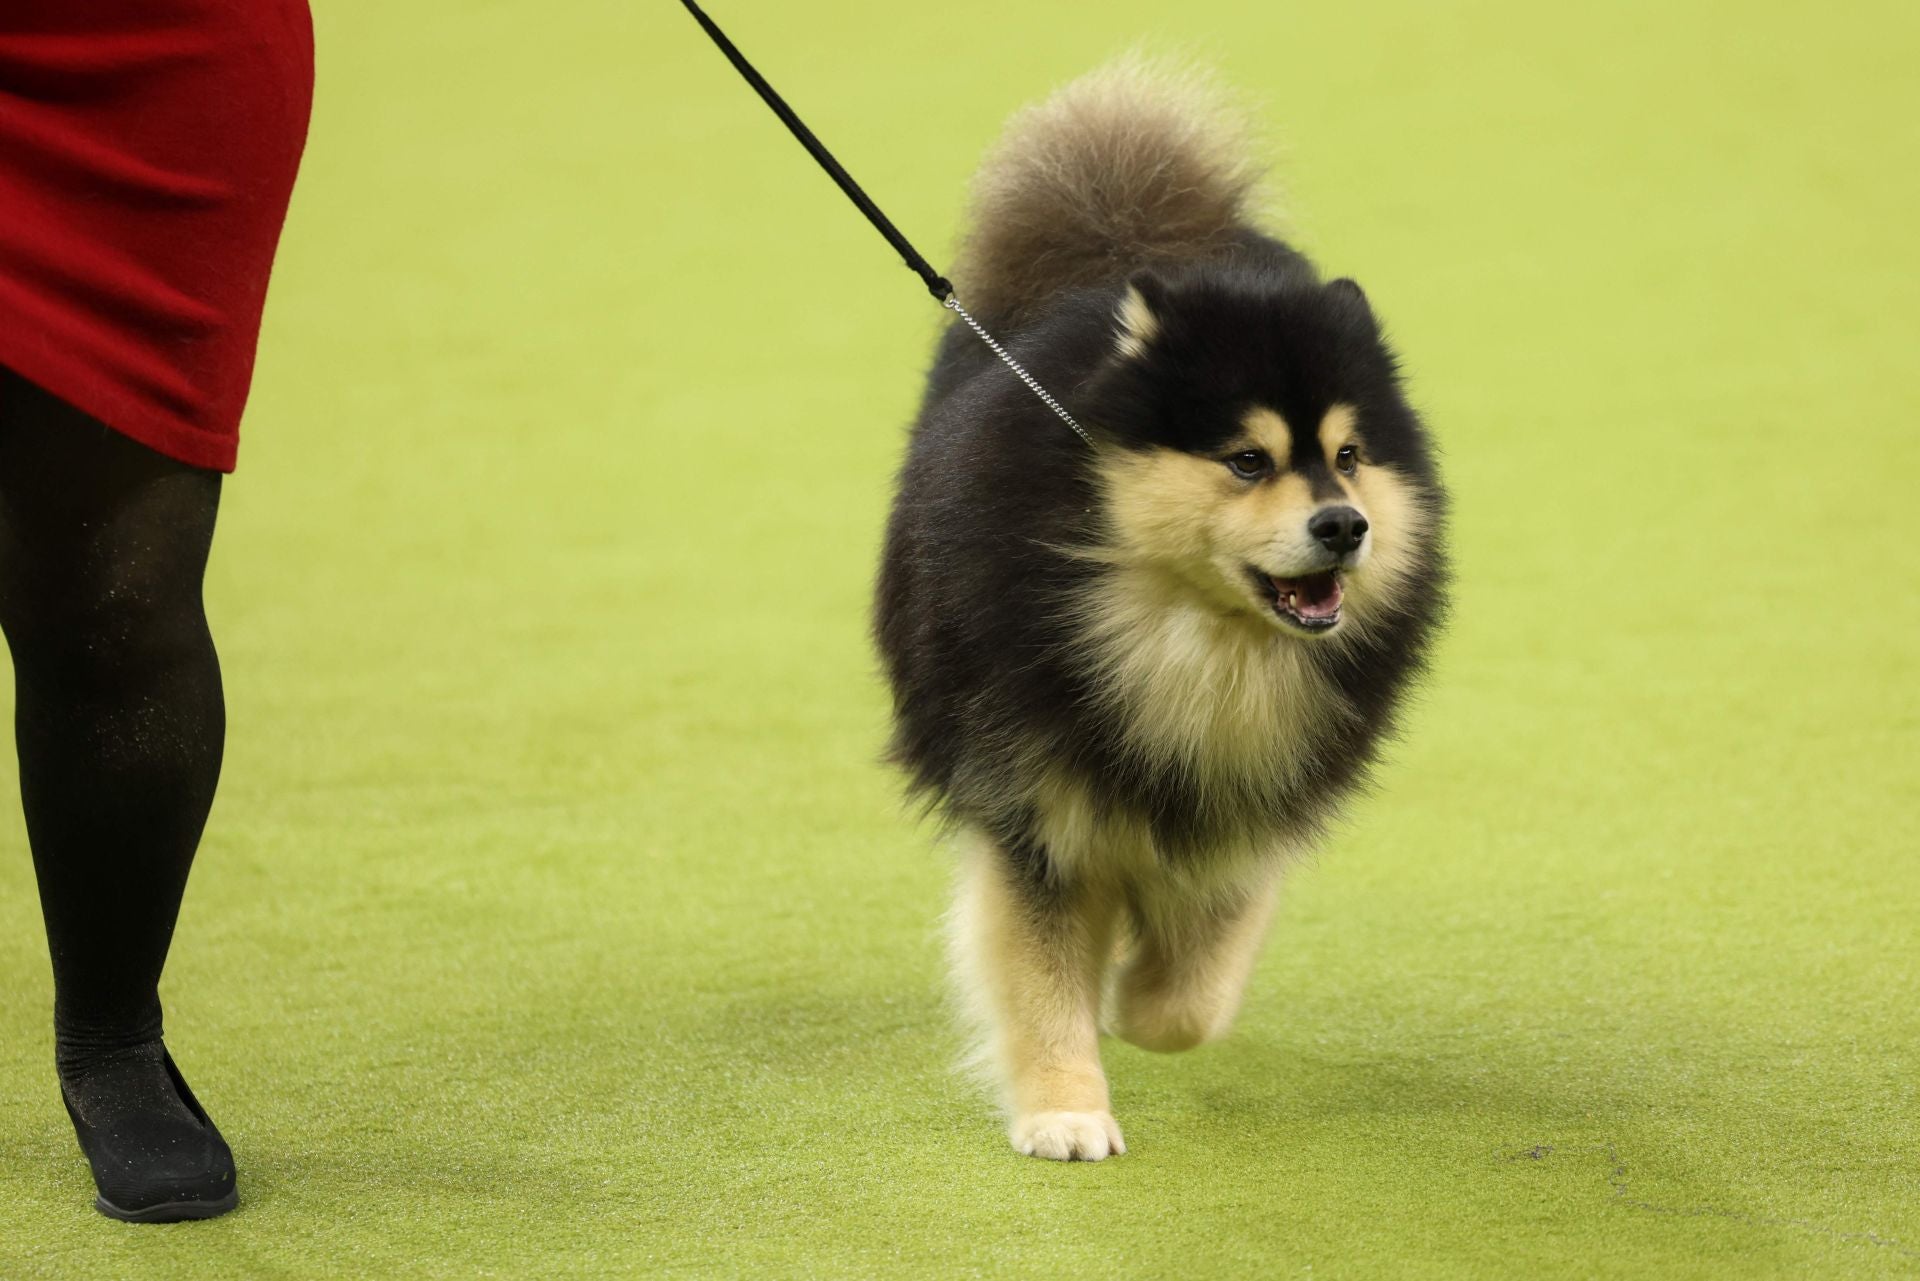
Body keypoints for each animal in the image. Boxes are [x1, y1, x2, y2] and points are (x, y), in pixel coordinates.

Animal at [879, 57, 1443, 1160]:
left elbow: (1190, 992)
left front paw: (1140, 1001)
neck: (1191, 643)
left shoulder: (1250, 794)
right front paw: (1065, 1110)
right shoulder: (1035, 805)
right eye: (1248, 460)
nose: (1345, 524)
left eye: (1350, 454)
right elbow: (1042, 972)